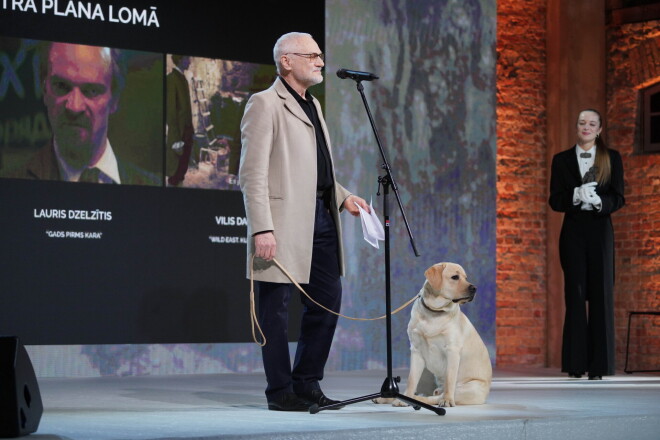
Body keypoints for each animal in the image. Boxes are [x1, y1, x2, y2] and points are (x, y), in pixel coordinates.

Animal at [376, 262, 490, 410]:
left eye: (465, 277)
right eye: (455, 277)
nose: (474, 288)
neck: (434, 312)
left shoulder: (452, 350)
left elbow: (449, 380)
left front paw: (447, 400)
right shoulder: (416, 351)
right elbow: (411, 380)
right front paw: (404, 398)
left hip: (469, 388)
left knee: (434, 397)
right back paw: (390, 398)